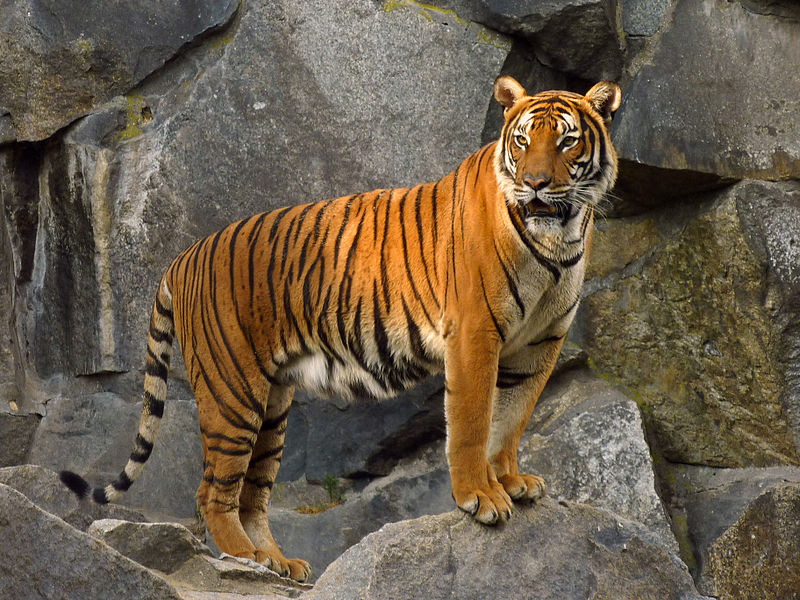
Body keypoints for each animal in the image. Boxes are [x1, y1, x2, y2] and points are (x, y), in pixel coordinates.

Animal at [60, 75, 621, 582]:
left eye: (566, 141)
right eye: (523, 141)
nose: (536, 183)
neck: (559, 237)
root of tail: (182, 257)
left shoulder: (539, 343)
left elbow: (510, 419)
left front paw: (510, 481)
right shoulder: (474, 334)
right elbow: (472, 423)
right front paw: (479, 497)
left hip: (272, 405)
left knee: (251, 496)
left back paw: (279, 562)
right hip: (231, 392)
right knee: (212, 492)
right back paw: (248, 559)